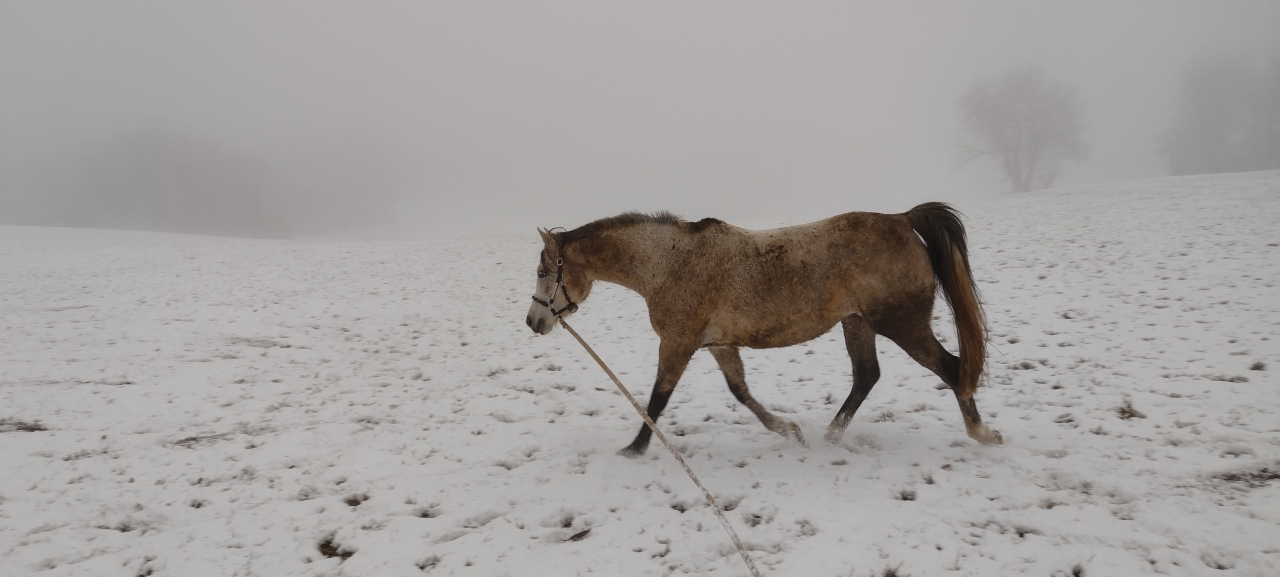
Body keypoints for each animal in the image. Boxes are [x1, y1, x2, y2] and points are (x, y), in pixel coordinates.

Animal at [525, 203, 1001, 457]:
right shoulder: (718, 344)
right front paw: (788, 430)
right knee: (867, 376)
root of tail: (903, 219)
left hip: (901, 323)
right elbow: (741, 392)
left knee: (952, 368)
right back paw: (829, 437)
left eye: (544, 272)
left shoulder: (678, 343)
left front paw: (635, 448)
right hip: (858, 323)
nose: (533, 322)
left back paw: (982, 434)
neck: (668, 264)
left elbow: (657, 399)